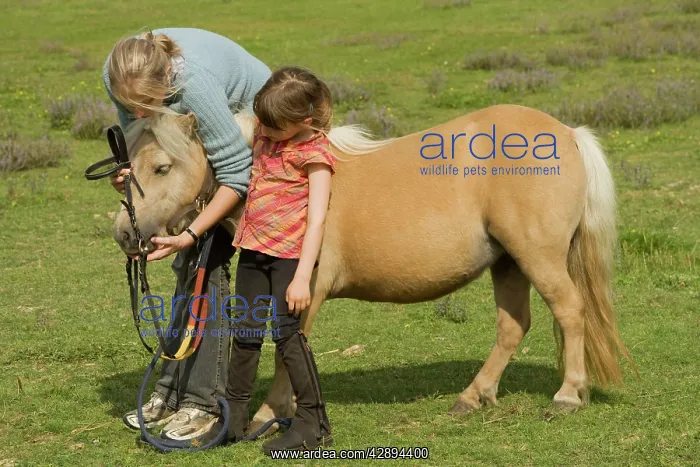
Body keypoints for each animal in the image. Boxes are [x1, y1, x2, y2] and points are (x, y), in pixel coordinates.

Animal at [111, 104, 635, 435]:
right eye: (127, 169)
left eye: (161, 167)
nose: (125, 235)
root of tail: (569, 134)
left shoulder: (304, 290)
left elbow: (286, 353)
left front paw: (266, 415)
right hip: (507, 262)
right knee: (513, 326)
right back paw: (473, 396)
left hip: (537, 256)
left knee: (570, 311)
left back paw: (567, 395)